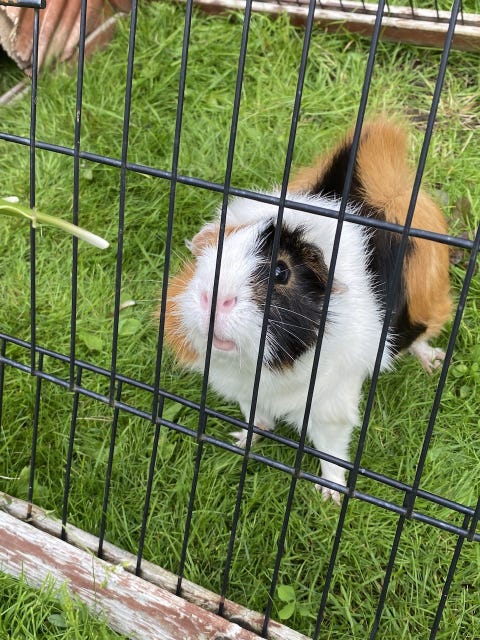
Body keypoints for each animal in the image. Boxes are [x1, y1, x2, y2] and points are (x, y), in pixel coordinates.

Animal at [160, 119, 452, 503]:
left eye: (281, 271)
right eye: (209, 255)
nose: (214, 297)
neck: (269, 370)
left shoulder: (330, 408)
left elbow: (331, 451)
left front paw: (330, 496)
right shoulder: (245, 393)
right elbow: (255, 418)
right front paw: (240, 441)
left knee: (422, 339)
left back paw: (432, 363)